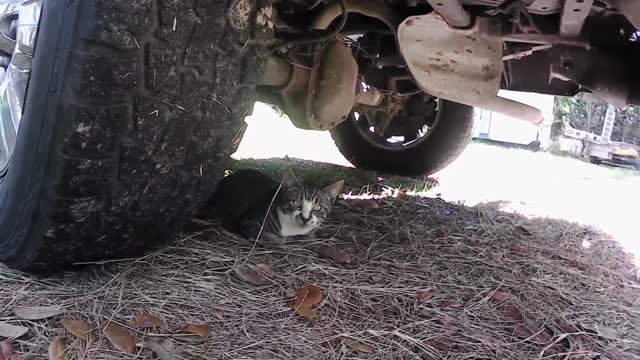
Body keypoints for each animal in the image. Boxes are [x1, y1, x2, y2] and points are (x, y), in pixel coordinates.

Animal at [208, 169, 342, 242]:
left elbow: (309, 235)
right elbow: (270, 237)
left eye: (318, 208)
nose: (305, 218)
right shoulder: (249, 221)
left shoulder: (310, 231)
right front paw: (281, 239)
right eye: (296, 203)